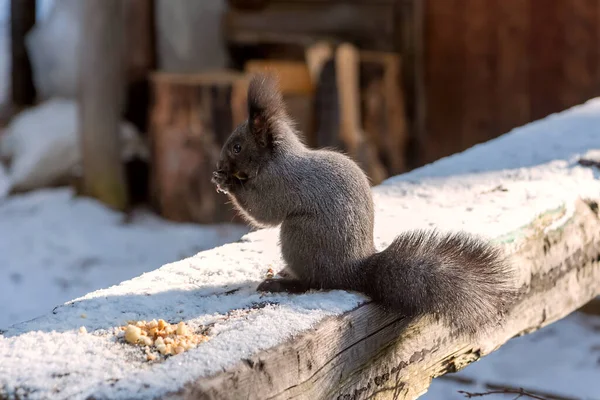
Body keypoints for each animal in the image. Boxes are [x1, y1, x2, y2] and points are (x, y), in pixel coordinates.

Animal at [212, 73, 516, 336]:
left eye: (237, 147)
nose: (220, 165)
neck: (276, 159)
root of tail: (352, 271)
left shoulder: (279, 184)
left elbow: (263, 211)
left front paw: (228, 182)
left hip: (298, 235)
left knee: (315, 282)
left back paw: (285, 283)